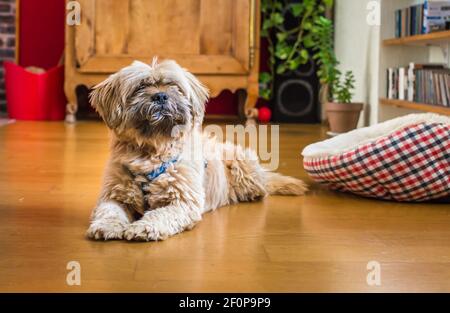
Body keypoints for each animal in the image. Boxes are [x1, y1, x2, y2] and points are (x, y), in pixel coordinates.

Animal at [86, 58, 308, 241]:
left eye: (173, 86)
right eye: (141, 86)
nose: (160, 96)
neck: (152, 152)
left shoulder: (182, 202)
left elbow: (160, 214)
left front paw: (144, 227)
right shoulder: (113, 194)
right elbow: (109, 211)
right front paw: (107, 226)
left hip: (241, 165)